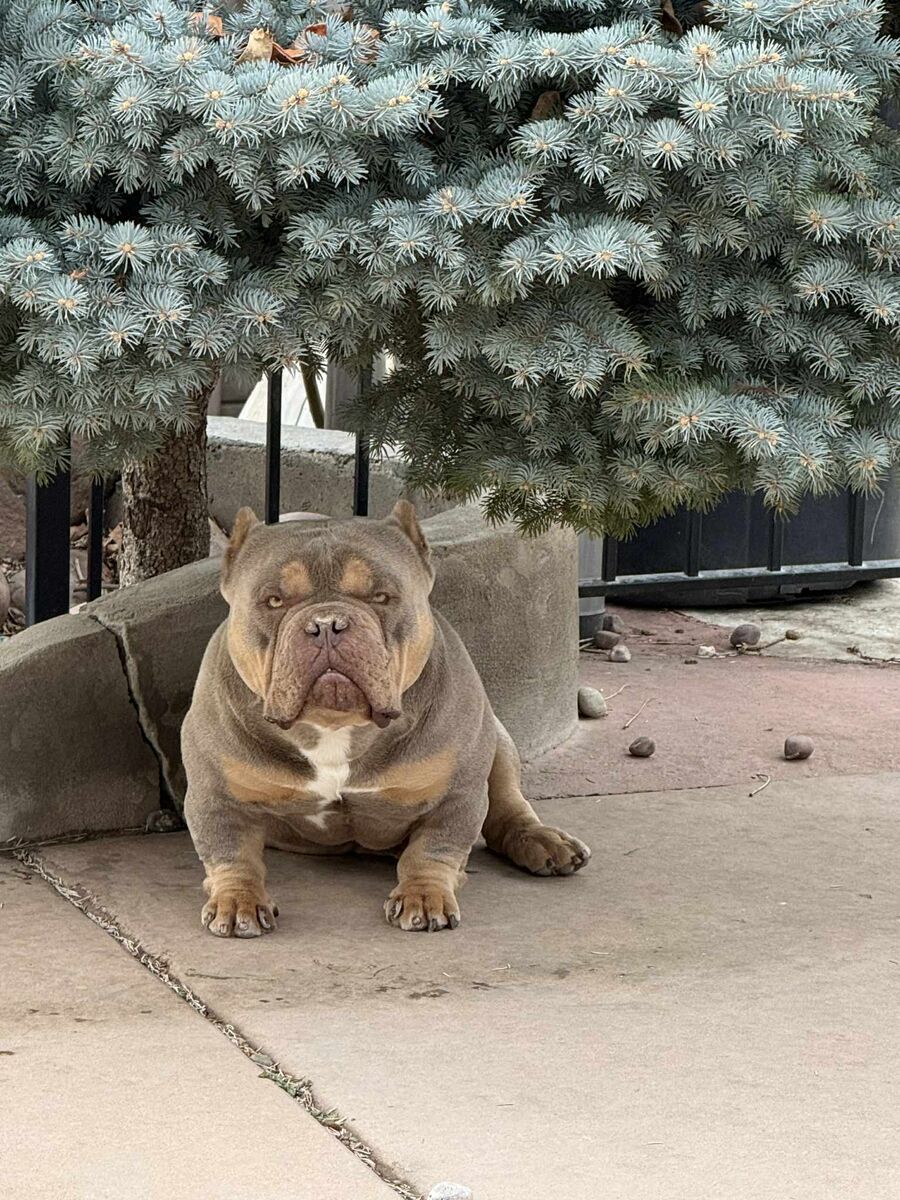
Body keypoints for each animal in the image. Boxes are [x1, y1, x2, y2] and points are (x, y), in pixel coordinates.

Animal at [181, 501, 590, 937]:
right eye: (273, 601)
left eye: (381, 596)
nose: (327, 623)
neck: (335, 727)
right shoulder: (217, 796)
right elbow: (231, 853)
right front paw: (237, 901)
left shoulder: (456, 794)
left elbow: (433, 850)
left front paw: (424, 896)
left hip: (497, 738)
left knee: (508, 806)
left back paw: (544, 841)